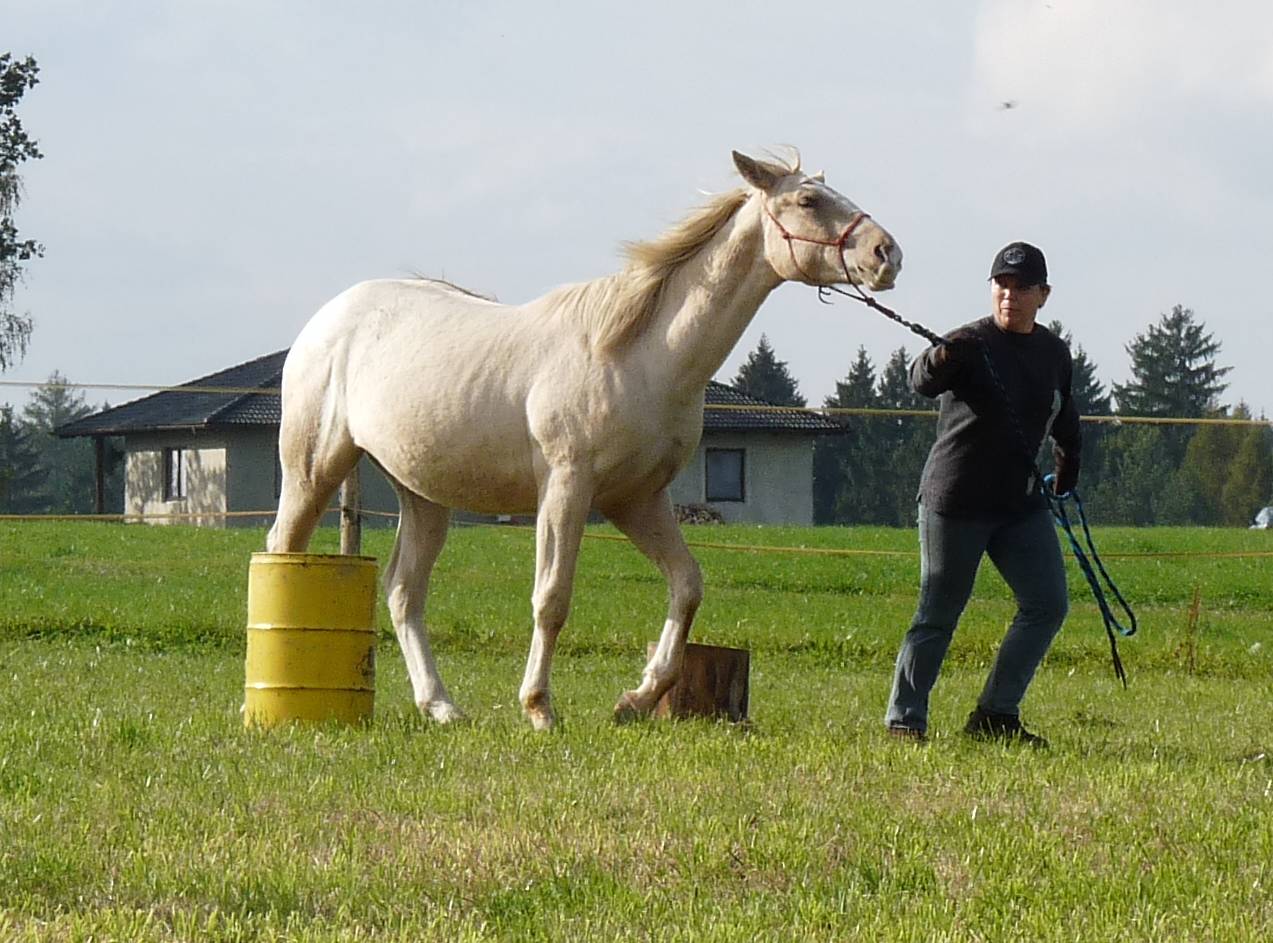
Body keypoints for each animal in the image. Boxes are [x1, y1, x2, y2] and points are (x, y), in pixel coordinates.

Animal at [268, 150, 906, 733]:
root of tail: (326, 321)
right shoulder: (567, 489)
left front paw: (637, 699)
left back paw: (442, 707)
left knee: (404, 592)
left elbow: (687, 586)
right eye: (809, 200)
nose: (887, 254)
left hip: (423, 496)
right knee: (285, 548)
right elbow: (551, 599)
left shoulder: (637, 500)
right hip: (314, 470)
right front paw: (539, 709)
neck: (638, 354)